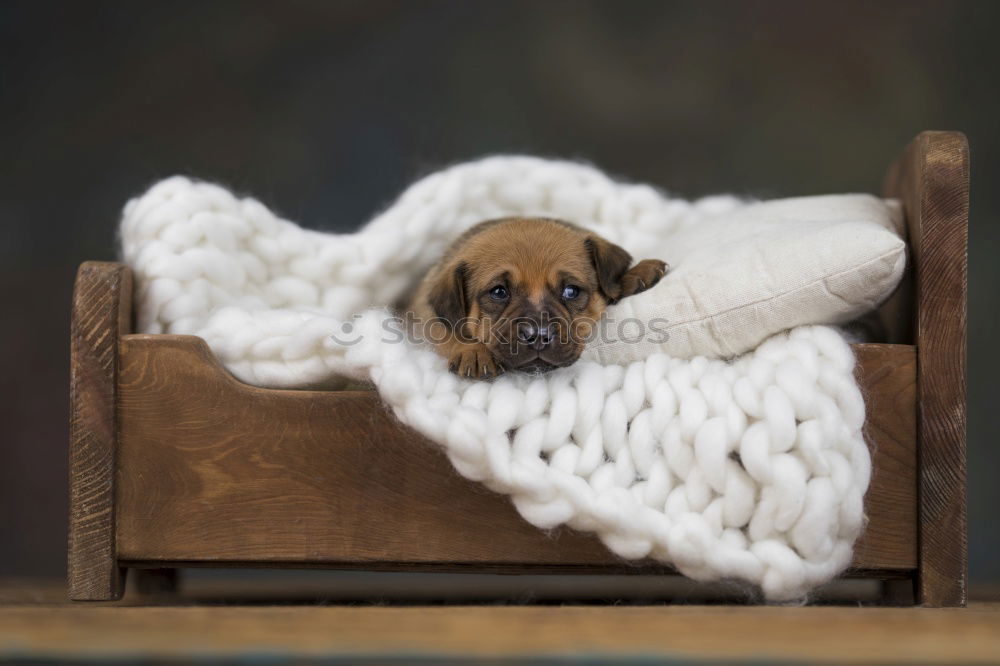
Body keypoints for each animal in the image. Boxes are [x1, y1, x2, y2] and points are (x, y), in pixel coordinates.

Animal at [402, 217, 668, 376]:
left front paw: (635, 274)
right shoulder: (424, 316)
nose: (538, 336)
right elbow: (444, 330)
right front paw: (473, 350)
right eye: (499, 292)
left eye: (571, 291)